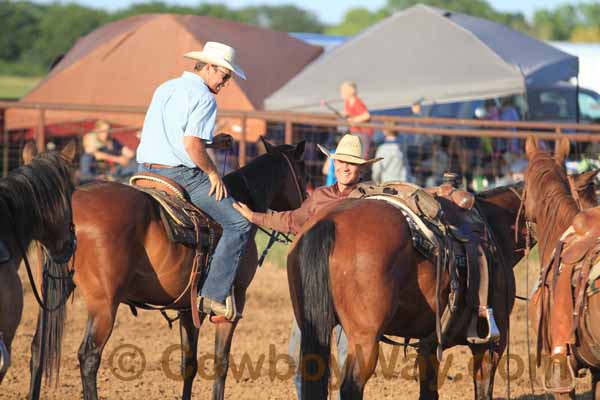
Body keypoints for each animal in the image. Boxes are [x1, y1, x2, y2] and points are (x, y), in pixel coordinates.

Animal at [28, 138, 308, 400]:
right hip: (103, 304)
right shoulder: (234, 304)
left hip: (54, 291)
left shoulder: (189, 308)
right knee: (88, 357)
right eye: (302, 174)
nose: (307, 203)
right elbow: (221, 364)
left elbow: (189, 364)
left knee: (38, 350)